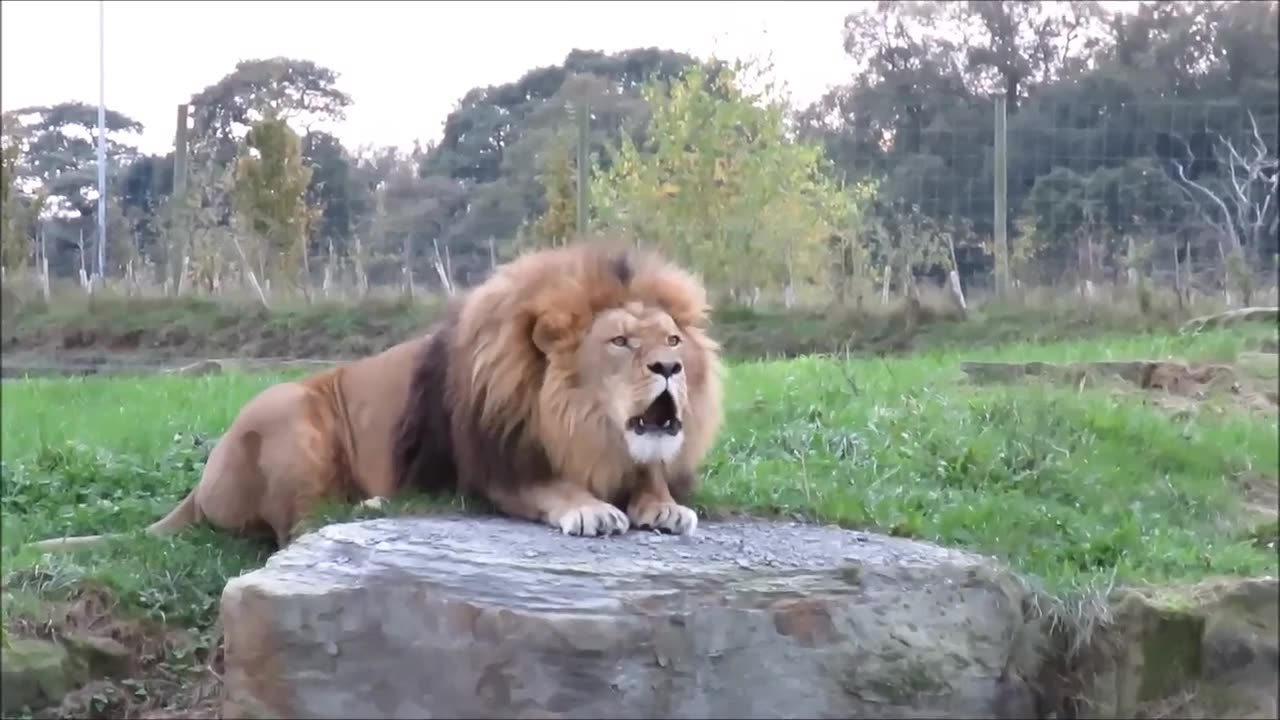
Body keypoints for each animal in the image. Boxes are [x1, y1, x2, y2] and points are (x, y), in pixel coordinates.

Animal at [29, 240, 724, 553]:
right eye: (620, 342)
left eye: (671, 339)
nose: (670, 367)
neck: (581, 425)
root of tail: (198, 489)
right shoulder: (491, 466)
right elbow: (547, 487)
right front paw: (589, 509)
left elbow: (653, 479)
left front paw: (664, 506)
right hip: (289, 410)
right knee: (297, 526)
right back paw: (374, 507)